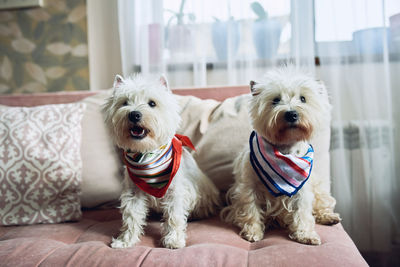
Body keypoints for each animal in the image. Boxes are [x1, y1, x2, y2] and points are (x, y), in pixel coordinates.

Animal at [103, 74, 220, 250]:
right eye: (125, 102)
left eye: (152, 103)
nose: (134, 114)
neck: (146, 154)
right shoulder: (133, 192)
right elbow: (131, 216)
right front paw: (125, 240)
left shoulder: (175, 191)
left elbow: (174, 215)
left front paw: (174, 240)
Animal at [222, 67, 340, 247]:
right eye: (275, 100)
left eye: (303, 99)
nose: (291, 114)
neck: (285, 150)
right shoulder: (249, 187)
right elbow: (251, 209)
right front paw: (253, 232)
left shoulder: (302, 189)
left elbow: (302, 211)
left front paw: (306, 235)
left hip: (318, 187)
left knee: (321, 203)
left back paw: (329, 217)